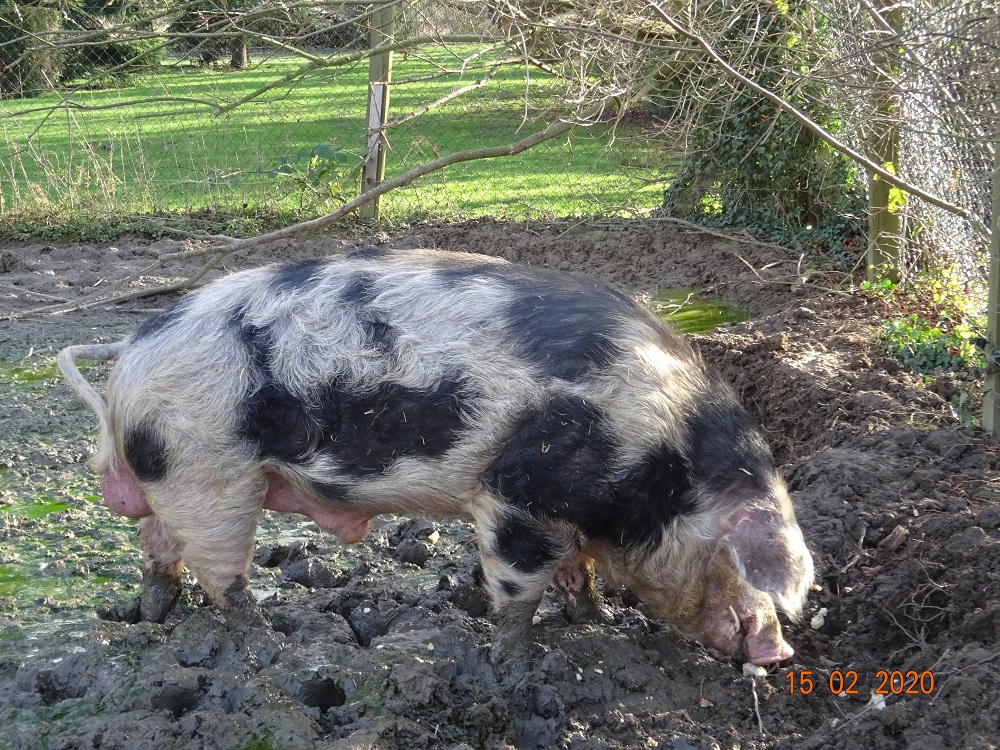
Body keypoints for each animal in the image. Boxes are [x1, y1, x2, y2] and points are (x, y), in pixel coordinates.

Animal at [57, 248, 813, 665]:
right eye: (741, 564)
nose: (783, 652)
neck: (663, 469)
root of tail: (132, 351)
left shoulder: (569, 516)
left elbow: (580, 573)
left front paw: (596, 621)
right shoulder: (515, 497)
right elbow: (518, 589)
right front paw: (516, 664)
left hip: (176, 476)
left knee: (158, 547)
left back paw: (150, 617)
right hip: (208, 472)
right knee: (221, 575)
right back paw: (269, 640)